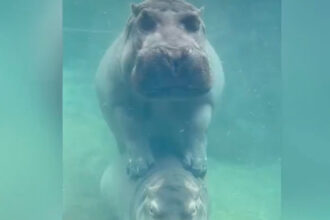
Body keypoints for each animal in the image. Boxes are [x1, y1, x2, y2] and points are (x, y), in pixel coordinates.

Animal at [95, 0, 224, 177]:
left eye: (194, 23)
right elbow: (132, 130)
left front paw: (197, 167)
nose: (174, 54)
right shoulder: (120, 103)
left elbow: (197, 128)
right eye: (145, 21)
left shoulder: (205, 102)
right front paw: (139, 168)